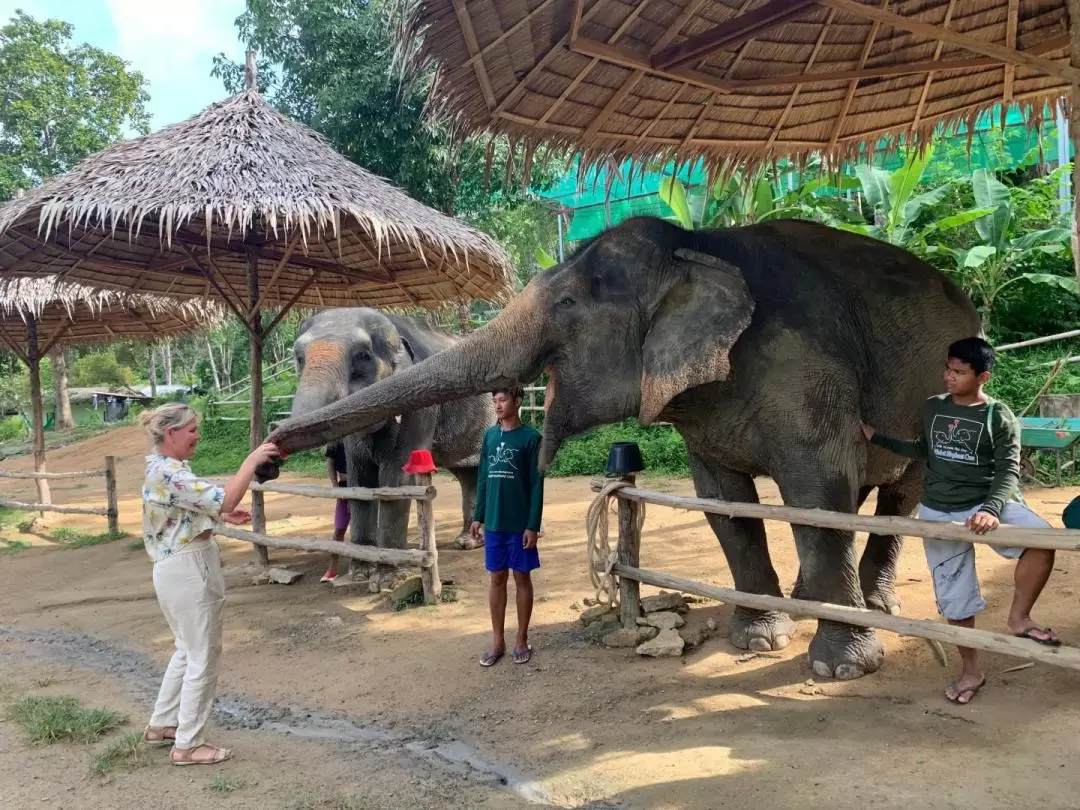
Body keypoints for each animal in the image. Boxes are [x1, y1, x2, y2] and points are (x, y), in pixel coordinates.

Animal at [278, 308, 496, 583]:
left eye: (363, 355)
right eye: (299, 358)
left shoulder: (421, 405)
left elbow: (396, 477)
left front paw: (387, 579)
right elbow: (359, 479)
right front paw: (360, 574)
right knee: (466, 473)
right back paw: (468, 542)